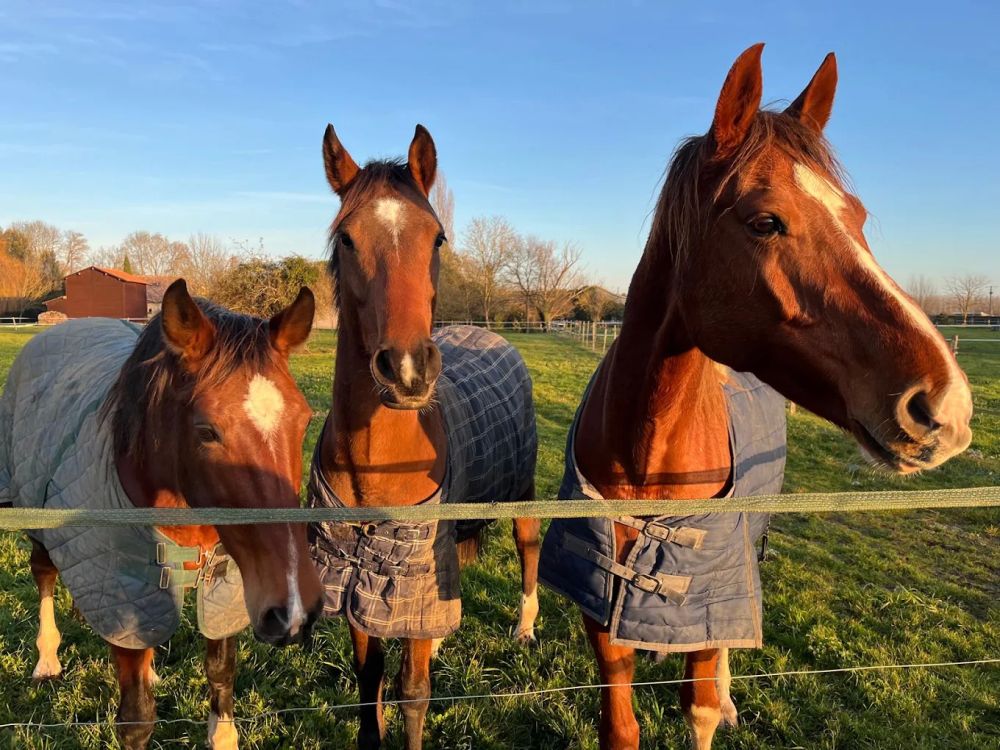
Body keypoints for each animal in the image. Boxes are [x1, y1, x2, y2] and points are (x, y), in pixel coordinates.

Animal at [0, 280, 324, 750]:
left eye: (304, 421)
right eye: (206, 431)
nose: (295, 611)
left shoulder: (225, 583)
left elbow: (220, 672)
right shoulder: (122, 585)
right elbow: (137, 720)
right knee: (43, 573)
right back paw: (47, 659)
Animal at [307, 124, 540, 750]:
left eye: (437, 238)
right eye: (346, 239)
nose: (408, 369)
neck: (376, 469)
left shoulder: (412, 583)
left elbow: (412, 693)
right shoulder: (355, 577)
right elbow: (369, 680)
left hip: (522, 493)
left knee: (529, 550)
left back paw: (525, 629)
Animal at [537, 44, 973, 750]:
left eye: (857, 217)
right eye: (766, 221)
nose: (947, 407)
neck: (648, 463)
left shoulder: (714, 591)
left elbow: (700, 708)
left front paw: (717, 703)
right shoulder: (599, 610)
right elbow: (619, 724)